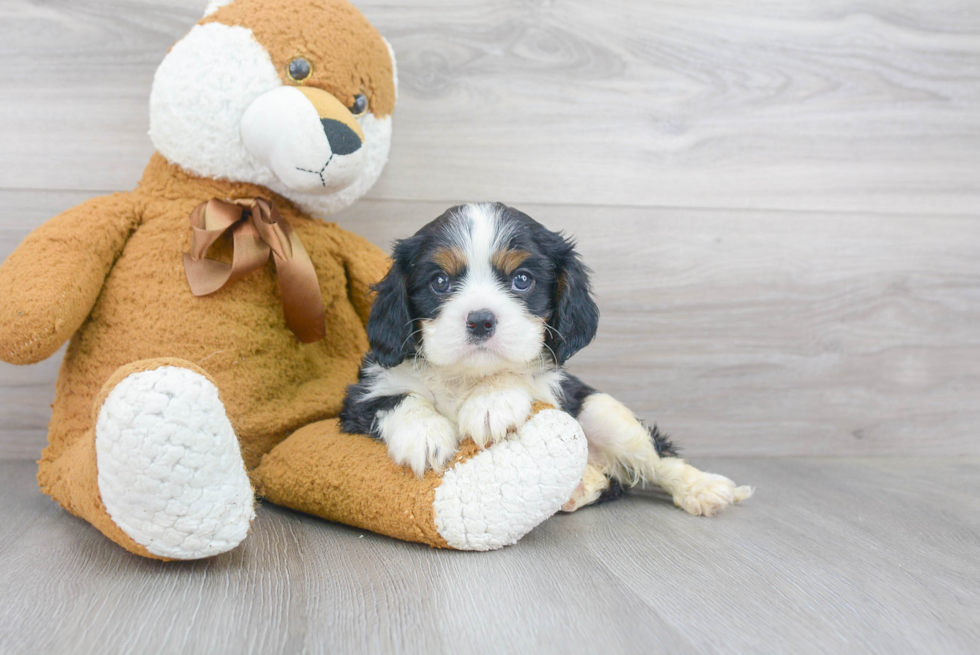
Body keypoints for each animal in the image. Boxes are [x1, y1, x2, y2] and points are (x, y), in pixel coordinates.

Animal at [340, 202, 756, 516]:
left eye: (522, 280)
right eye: (439, 282)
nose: (481, 320)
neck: (467, 376)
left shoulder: (555, 383)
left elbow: (520, 375)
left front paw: (491, 402)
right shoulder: (362, 395)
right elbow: (398, 398)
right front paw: (423, 434)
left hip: (602, 412)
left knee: (654, 456)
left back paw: (702, 487)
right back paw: (583, 484)